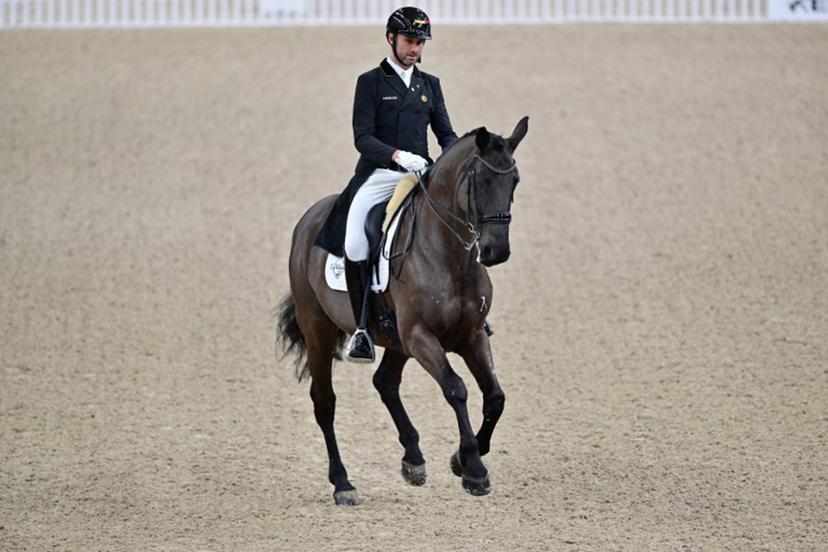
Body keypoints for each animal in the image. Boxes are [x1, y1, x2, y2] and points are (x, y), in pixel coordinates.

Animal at [277, 116, 529, 505]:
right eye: (483, 181)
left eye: (513, 180)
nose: (495, 251)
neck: (450, 256)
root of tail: (310, 219)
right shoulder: (421, 336)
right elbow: (456, 389)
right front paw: (473, 468)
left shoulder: (469, 335)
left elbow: (495, 397)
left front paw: (459, 460)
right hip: (318, 328)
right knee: (325, 402)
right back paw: (343, 484)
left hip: (395, 340)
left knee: (385, 382)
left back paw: (413, 459)